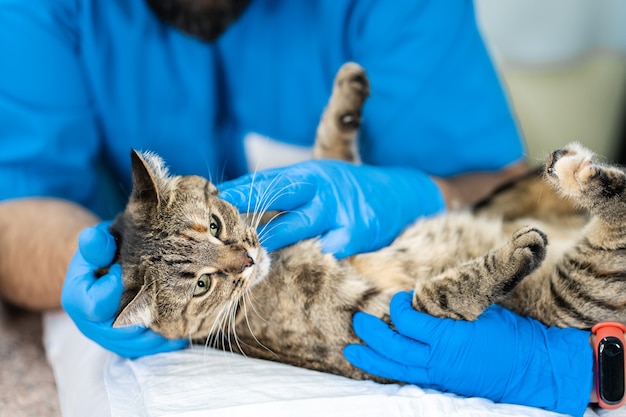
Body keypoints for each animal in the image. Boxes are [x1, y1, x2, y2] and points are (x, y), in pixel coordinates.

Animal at [107, 61, 624, 380]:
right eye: (201, 285)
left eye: (214, 226)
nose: (248, 259)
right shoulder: (379, 325)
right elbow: (438, 294)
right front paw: (504, 260)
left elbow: (333, 151)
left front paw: (348, 91)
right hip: (572, 298)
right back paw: (572, 176)